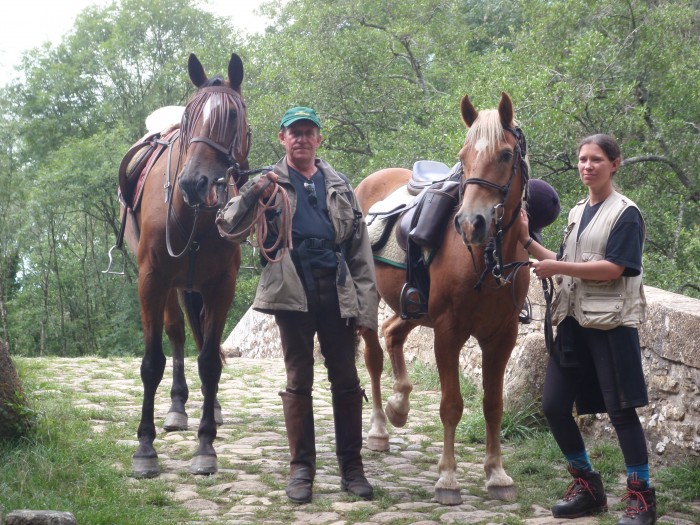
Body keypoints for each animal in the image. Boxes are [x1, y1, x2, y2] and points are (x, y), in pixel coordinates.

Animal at [124, 52, 250, 474]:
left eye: (233, 116)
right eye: (191, 117)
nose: (195, 182)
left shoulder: (221, 285)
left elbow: (210, 361)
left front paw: (206, 445)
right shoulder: (151, 280)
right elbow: (152, 362)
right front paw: (145, 448)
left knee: (196, 335)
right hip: (168, 284)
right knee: (177, 332)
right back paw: (177, 407)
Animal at [358, 93, 528, 504]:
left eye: (505, 154)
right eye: (462, 156)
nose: (470, 222)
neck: (486, 258)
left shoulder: (502, 336)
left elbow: (493, 405)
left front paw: (497, 473)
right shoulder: (448, 332)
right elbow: (451, 405)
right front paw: (448, 478)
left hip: (413, 306)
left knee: (393, 333)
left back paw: (399, 405)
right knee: (374, 357)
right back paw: (379, 428)